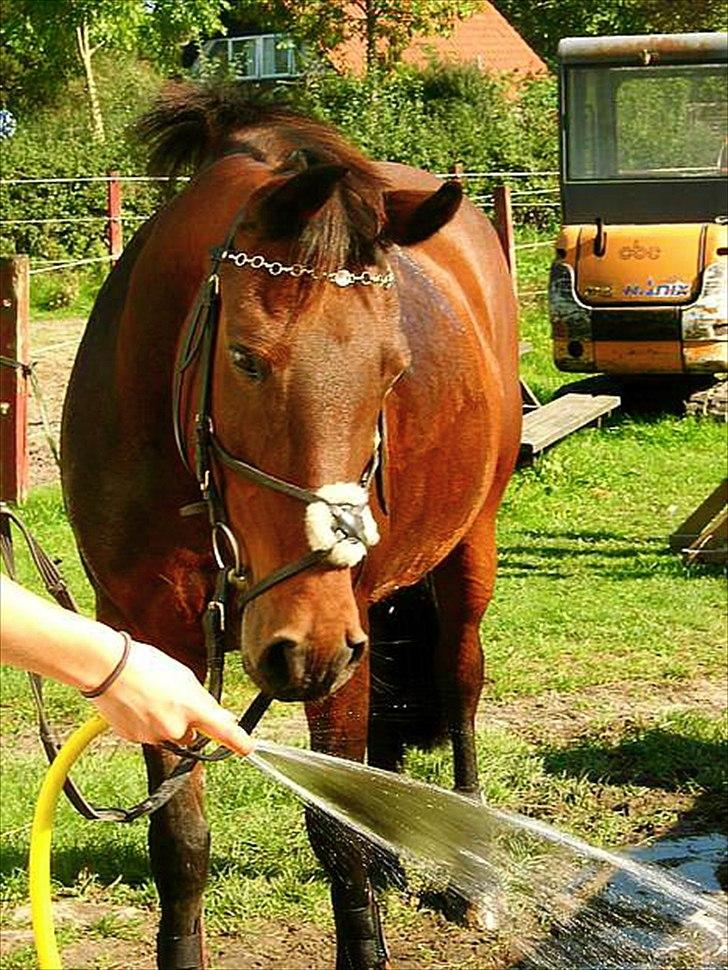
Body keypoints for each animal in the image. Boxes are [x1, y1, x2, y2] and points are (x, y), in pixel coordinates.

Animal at [59, 85, 520, 968]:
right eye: (245, 359)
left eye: (394, 370)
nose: (307, 643)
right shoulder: (146, 636)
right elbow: (180, 843)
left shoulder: (339, 644)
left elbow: (336, 833)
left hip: (466, 552)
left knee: (460, 680)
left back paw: (477, 880)